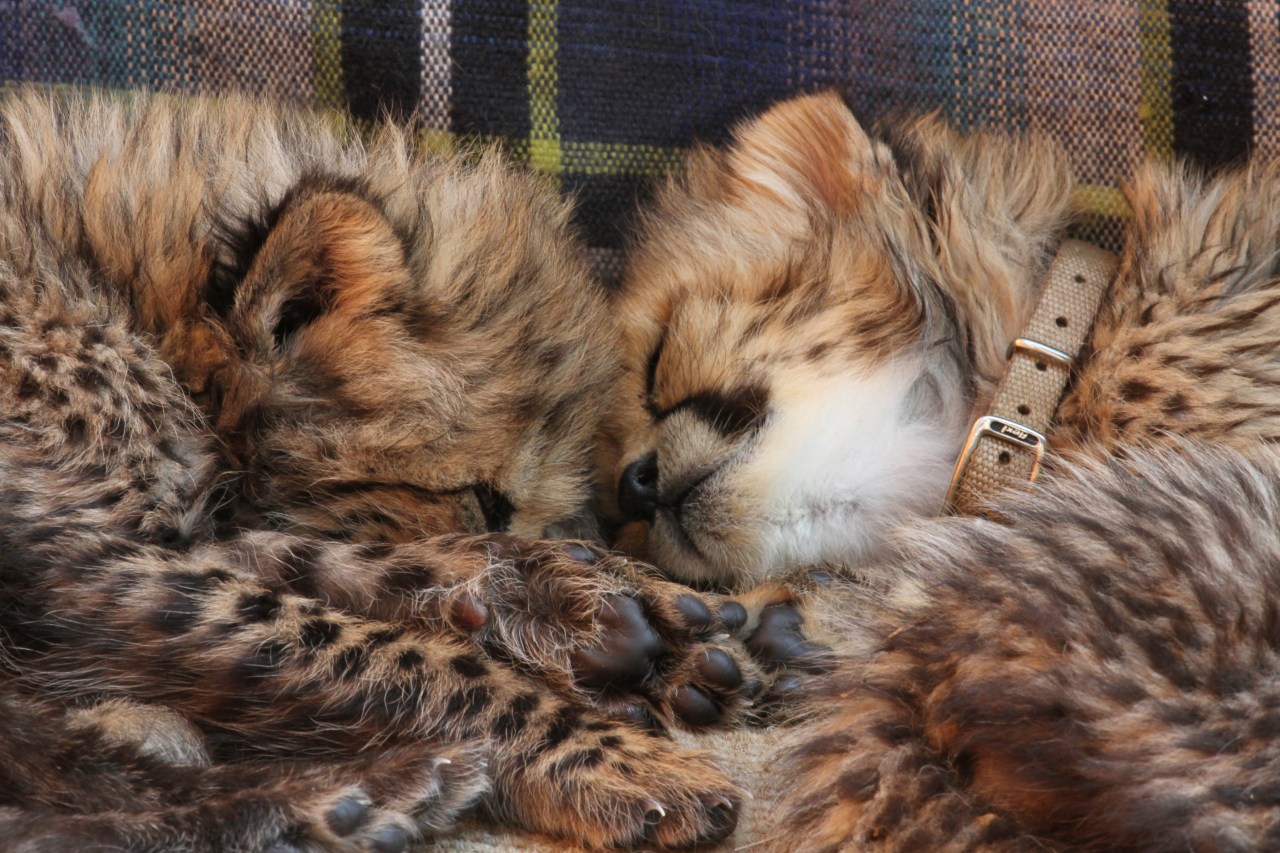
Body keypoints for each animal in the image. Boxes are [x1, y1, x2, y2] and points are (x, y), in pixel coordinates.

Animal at [0, 88, 818, 852]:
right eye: (480, 495)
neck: (125, 289)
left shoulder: (157, 532)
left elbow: (331, 564)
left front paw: (600, 607)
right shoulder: (65, 558)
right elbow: (362, 647)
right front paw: (591, 747)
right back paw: (346, 798)